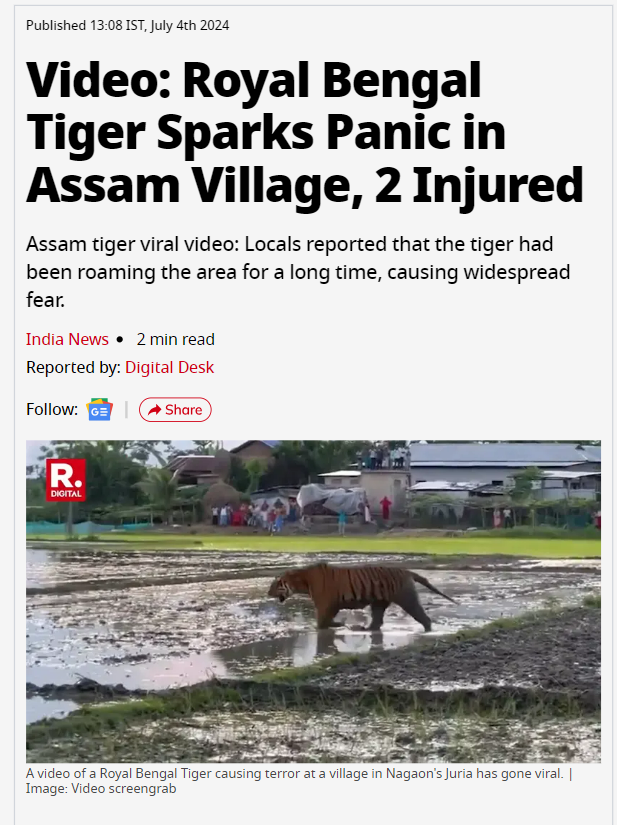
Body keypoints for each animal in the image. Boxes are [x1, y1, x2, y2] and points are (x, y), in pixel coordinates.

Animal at [268, 560, 454, 632]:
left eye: (276, 584)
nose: (268, 593)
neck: (302, 581)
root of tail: (407, 571)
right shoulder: (332, 604)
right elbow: (327, 620)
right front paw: (339, 624)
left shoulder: (324, 604)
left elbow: (322, 621)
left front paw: (332, 626)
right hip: (379, 602)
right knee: (377, 620)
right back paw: (365, 628)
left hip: (406, 598)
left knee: (422, 616)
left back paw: (428, 631)